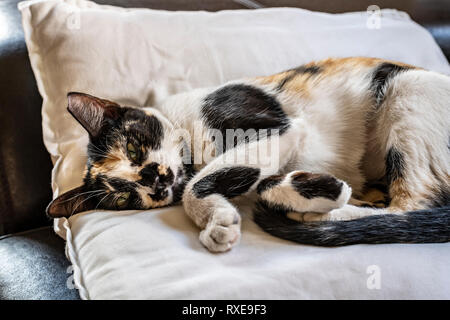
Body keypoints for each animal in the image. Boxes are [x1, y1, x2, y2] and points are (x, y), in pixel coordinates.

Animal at [44, 57, 448, 252]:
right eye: (123, 197)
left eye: (133, 147)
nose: (153, 183)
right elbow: (252, 180)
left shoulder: (276, 127)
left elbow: (196, 187)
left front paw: (216, 221)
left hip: (405, 92)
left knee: (413, 206)